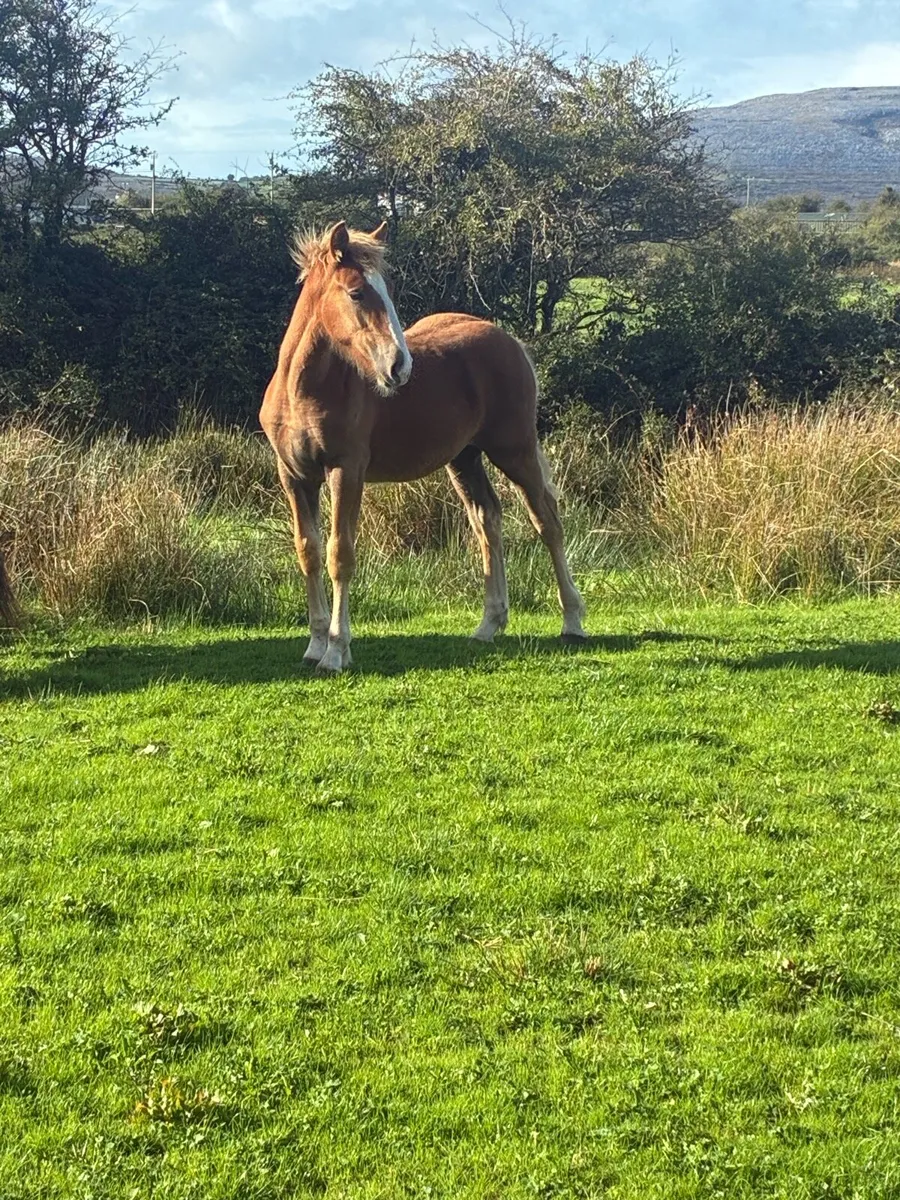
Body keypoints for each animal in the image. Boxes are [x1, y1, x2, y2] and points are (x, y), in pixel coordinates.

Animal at [259, 220, 586, 673]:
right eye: (356, 292)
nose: (400, 367)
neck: (303, 393)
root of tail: (510, 341)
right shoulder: (294, 476)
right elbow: (308, 552)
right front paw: (314, 645)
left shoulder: (346, 470)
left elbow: (340, 554)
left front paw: (337, 651)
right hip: (465, 459)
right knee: (487, 519)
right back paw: (489, 625)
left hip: (514, 450)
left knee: (547, 522)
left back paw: (572, 621)